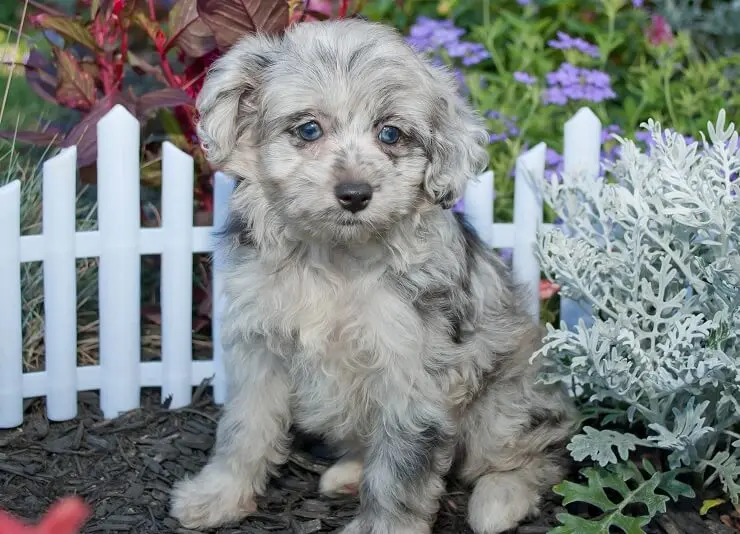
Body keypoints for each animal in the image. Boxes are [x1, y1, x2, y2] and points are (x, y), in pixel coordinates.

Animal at [171, 16, 576, 534]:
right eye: (309, 129)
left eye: (390, 134)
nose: (355, 194)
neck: (334, 260)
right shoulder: (259, 353)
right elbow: (244, 429)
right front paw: (218, 495)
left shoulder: (413, 374)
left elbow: (401, 468)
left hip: (505, 406)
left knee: (541, 455)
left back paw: (500, 499)